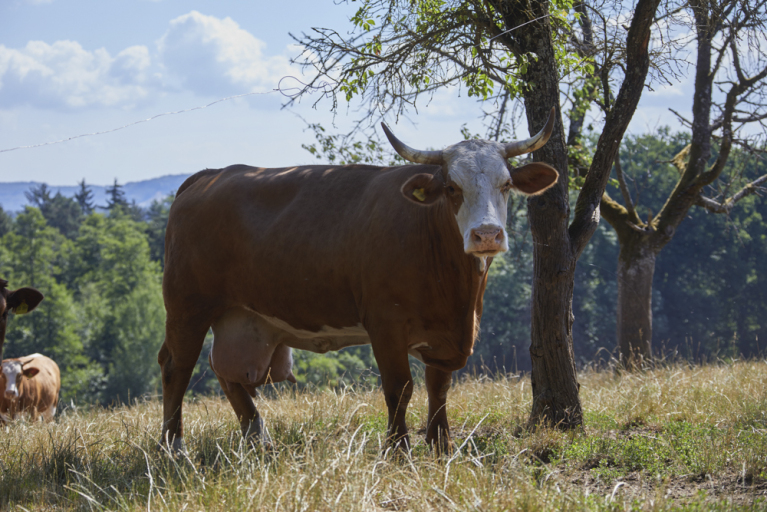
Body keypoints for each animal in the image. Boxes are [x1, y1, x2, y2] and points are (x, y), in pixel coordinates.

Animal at [160, 108, 560, 452]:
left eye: (506, 184)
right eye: (452, 188)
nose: (487, 234)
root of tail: (210, 175)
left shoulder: (446, 335)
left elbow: (439, 388)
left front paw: (440, 446)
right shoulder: (385, 324)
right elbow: (399, 388)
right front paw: (398, 451)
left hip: (241, 317)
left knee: (226, 372)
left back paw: (258, 436)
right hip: (187, 307)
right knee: (176, 367)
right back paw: (174, 446)